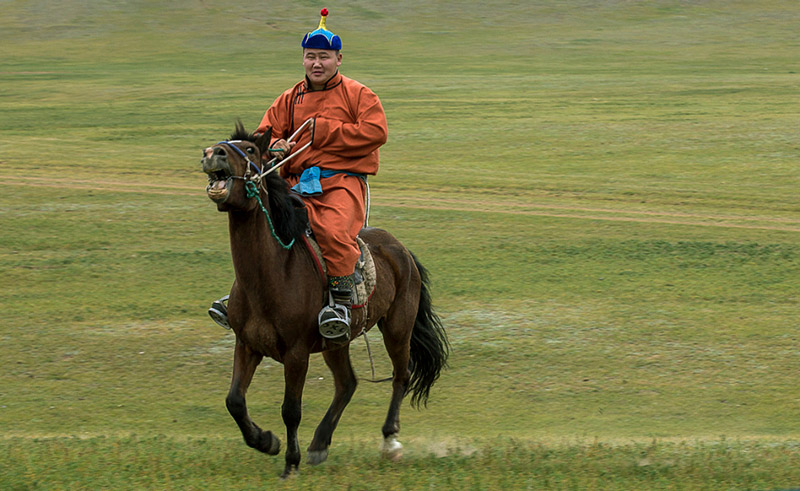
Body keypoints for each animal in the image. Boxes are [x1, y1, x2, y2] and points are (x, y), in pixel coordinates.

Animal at [200, 123, 450, 480]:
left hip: (398, 327)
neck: (270, 275)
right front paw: (266, 441)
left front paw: (290, 463)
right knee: (347, 383)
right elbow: (234, 400)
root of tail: (400, 249)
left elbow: (291, 410)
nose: (212, 154)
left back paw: (389, 442)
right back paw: (320, 443)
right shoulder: (246, 345)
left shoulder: (296, 353)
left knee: (401, 377)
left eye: (249, 149)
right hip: (336, 342)